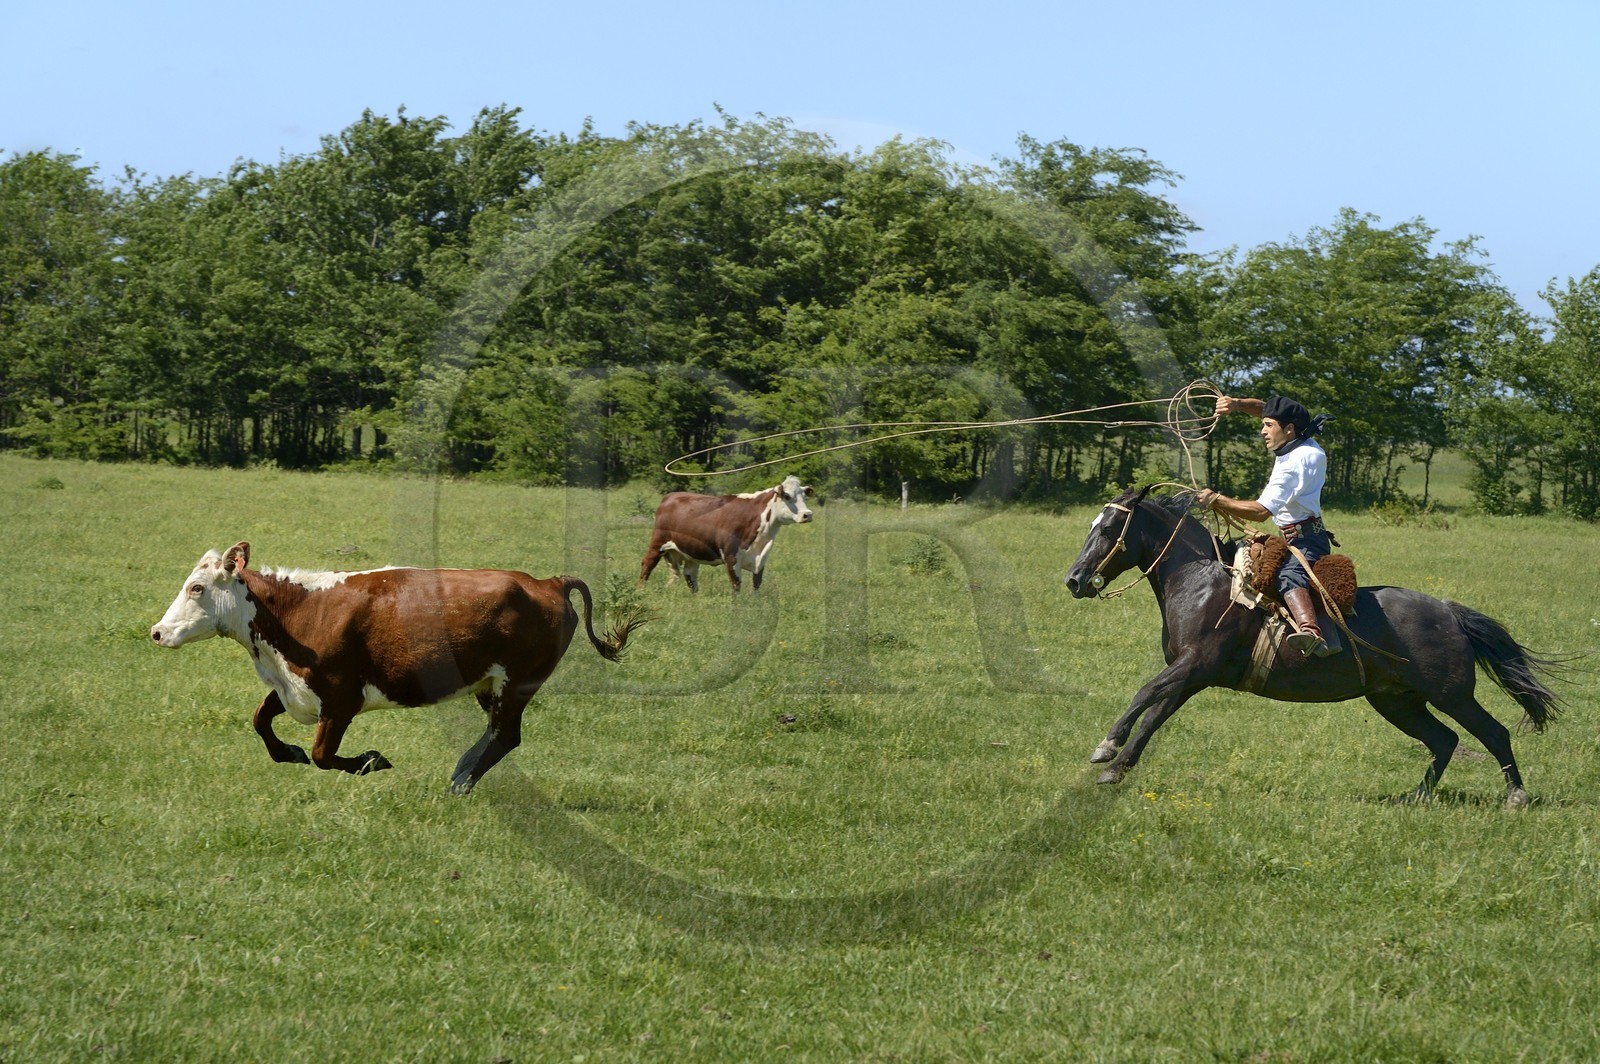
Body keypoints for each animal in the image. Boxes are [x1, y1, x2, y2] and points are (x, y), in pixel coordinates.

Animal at [151, 542, 648, 794]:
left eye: (197, 587)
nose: (157, 632)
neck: (300, 611)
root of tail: (547, 582)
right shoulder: (295, 689)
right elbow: (261, 721)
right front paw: (286, 752)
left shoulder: (341, 698)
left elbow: (323, 755)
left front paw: (372, 760)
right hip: (491, 683)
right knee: (498, 734)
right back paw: (462, 772)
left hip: (518, 682)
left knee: (506, 735)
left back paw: (461, 782)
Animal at [637, 474, 814, 594]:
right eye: (787, 496)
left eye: (804, 496)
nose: (807, 514)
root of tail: (670, 495)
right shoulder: (731, 557)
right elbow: (736, 586)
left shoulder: (761, 559)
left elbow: (757, 585)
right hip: (658, 541)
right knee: (647, 564)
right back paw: (641, 591)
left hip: (691, 551)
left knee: (689, 574)